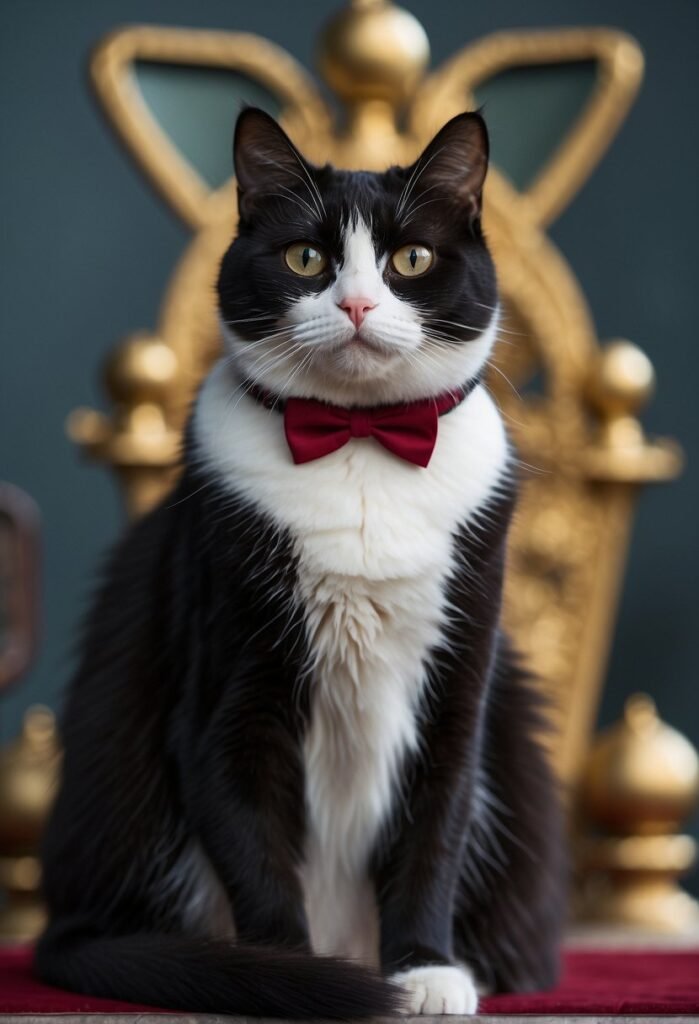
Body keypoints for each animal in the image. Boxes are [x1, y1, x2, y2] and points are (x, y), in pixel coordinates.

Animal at [35, 108, 564, 1019]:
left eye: (410, 259)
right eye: (305, 259)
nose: (354, 303)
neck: (358, 442)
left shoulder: (459, 686)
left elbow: (437, 823)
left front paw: (424, 969)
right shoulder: (227, 684)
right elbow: (251, 836)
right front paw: (286, 977)